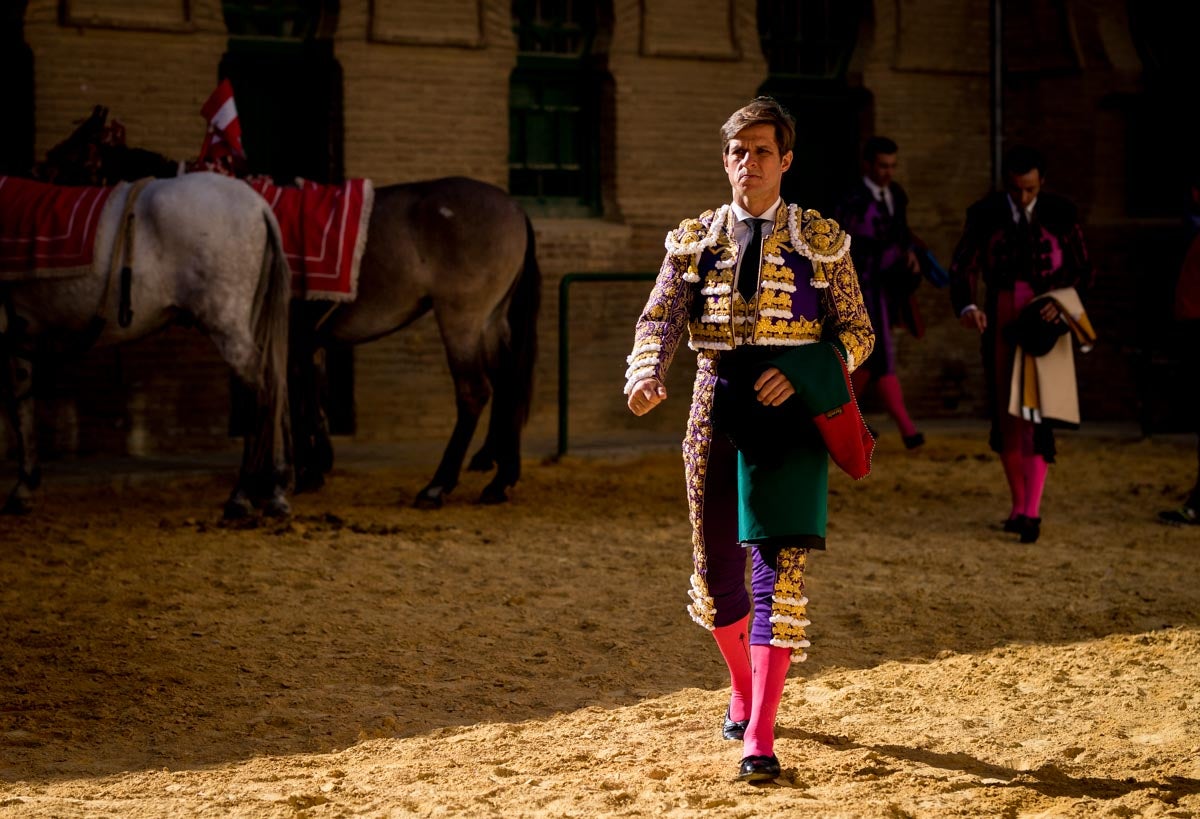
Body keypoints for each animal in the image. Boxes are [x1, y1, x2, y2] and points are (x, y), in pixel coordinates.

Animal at [0, 171, 290, 516]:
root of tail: (259, 205)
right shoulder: (19, 337)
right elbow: (22, 406)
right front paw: (26, 485)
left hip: (227, 324)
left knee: (260, 393)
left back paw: (247, 492)